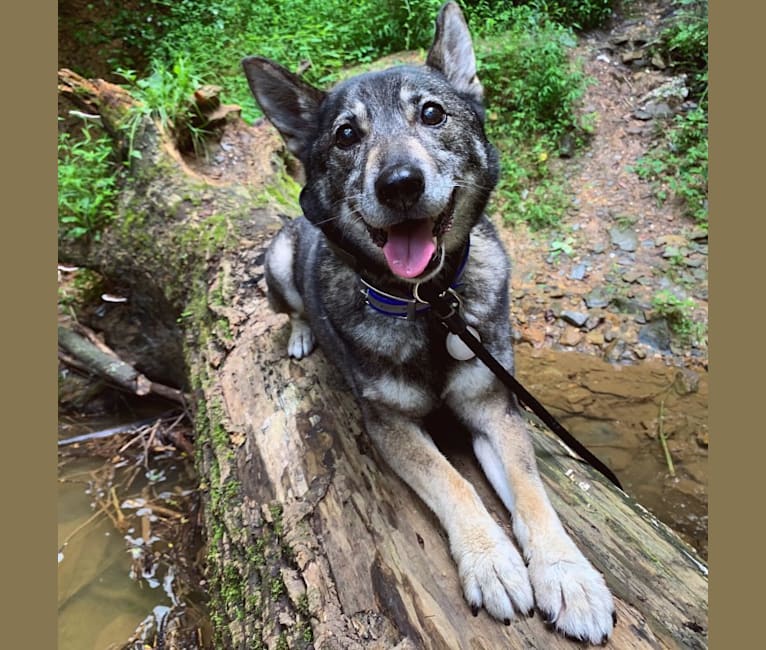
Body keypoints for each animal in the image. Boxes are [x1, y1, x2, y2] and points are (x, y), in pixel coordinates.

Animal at [246, 1, 616, 644]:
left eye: (432, 113)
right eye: (347, 134)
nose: (399, 184)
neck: (430, 303)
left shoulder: (494, 406)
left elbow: (530, 491)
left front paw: (567, 575)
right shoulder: (390, 425)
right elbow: (453, 481)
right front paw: (492, 561)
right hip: (279, 260)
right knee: (291, 307)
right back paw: (301, 334)